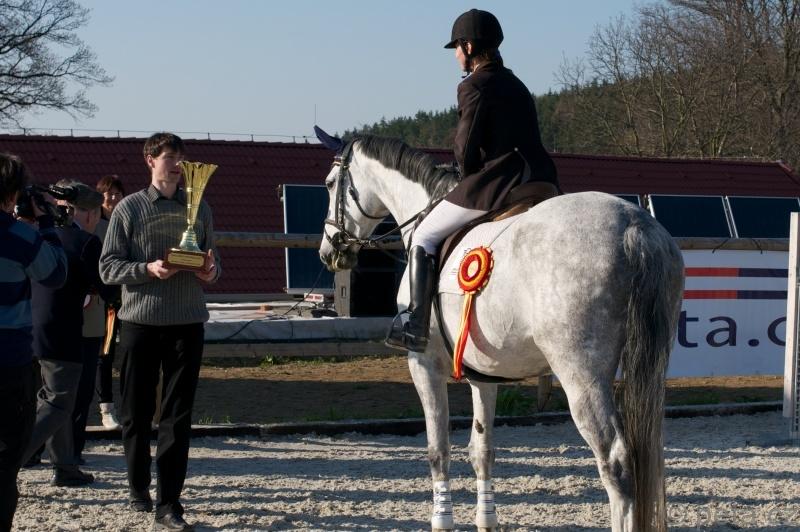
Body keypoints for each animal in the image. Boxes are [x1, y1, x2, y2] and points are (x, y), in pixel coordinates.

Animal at [316, 130, 684, 532]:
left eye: (330, 183)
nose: (329, 252)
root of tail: (633, 224)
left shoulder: (423, 365)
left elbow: (438, 449)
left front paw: (441, 521)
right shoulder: (484, 373)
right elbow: (483, 451)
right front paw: (486, 520)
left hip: (581, 374)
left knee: (615, 463)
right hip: (651, 365)